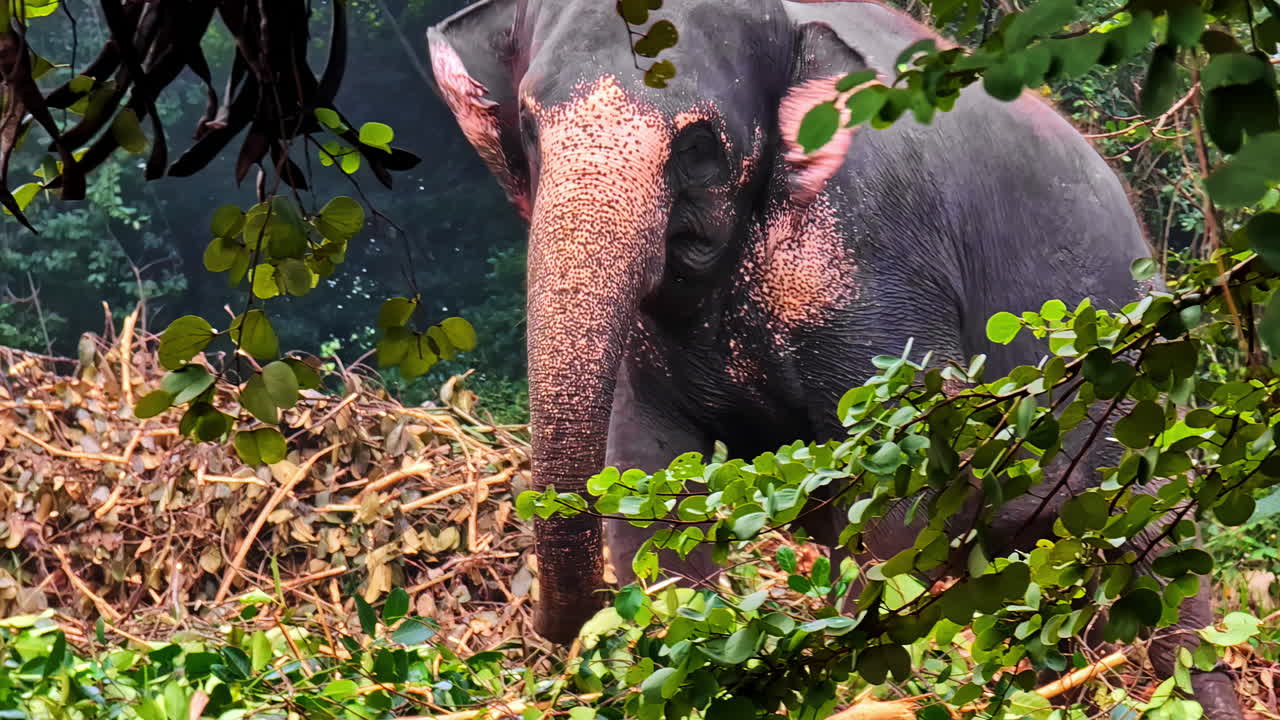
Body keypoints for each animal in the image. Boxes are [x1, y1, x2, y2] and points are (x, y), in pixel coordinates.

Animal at [424, 1, 1242, 717]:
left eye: (698, 146)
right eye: (529, 127)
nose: (557, 631)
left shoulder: (881, 254)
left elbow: (904, 488)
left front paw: (849, 680)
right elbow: (645, 477)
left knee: (1162, 569)